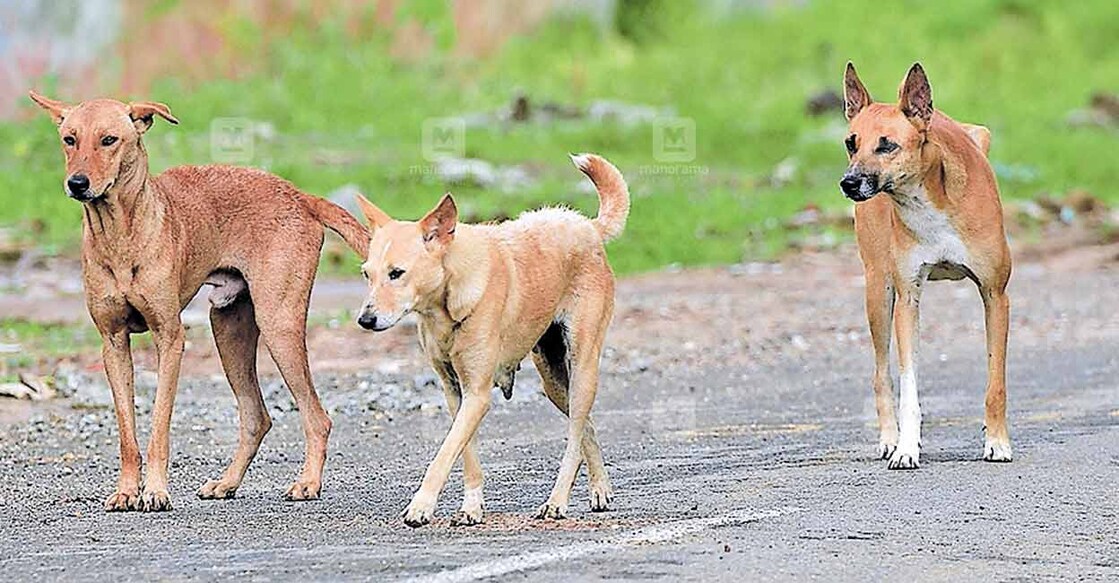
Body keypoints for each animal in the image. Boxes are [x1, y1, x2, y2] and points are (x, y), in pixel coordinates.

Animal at [30, 89, 369, 510]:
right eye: (69, 139)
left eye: (109, 140)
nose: (77, 183)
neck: (120, 235)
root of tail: (300, 195)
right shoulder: (113, 342)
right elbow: (127, 433)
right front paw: (127, 490)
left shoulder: (170, 337)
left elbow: (159, 428)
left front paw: (156, 491)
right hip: (228, 329)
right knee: (257, 416)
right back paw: (227, 483)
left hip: (279, 326)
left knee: (317, 417)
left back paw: (308, 483)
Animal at [351, 152, 631, 525]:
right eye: (367, 274)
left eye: (397, 273)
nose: (364, 320)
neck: (448, 301)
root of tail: (587, 225)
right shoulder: (456, 392)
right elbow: (465, 453)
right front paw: (472, 506)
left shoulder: (478, 394)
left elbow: (444, 455)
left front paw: (421, 505)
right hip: (555, 383)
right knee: (587, 426)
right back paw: (599, 489)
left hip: (583, 368)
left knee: (574, 437)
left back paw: (557, 500)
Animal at [841, 62, 1016, 467]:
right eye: (851, 143)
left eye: (886, 144)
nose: (849, 183)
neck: (927, 200)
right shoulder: (907, 299)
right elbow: (908, 387)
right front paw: (906, 447)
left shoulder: (995, 295)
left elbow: (995, 381)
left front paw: (997, 442)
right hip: (879, 292)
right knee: (881, 374)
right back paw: (890, 439)